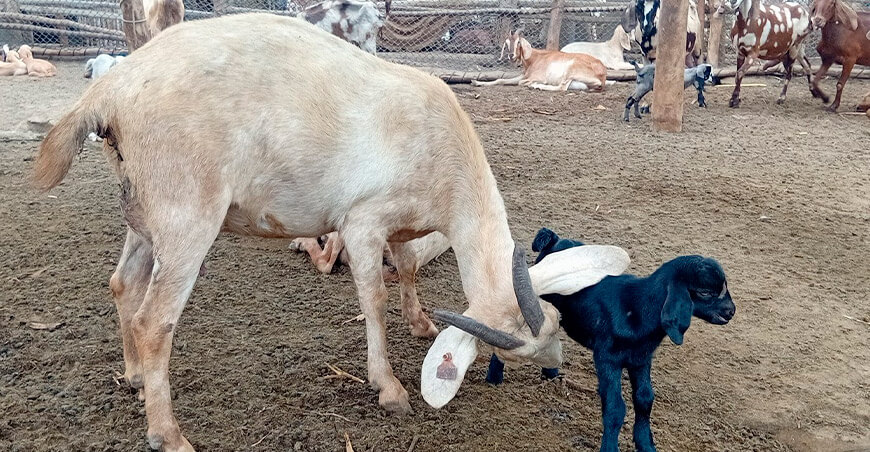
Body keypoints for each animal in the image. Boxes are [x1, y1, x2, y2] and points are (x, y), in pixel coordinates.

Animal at [33, 14, 567, 450]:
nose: (555, 370)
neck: (443, 151)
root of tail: (110, 91)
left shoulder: (402, 224)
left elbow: (410, 266)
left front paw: (420, 323)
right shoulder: (363, 221)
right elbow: (373, 299)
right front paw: (389, 388)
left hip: (141, 208)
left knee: (123, 283)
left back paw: (135, 378)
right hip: (185, 210)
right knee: (154, 321)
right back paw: (168, 434)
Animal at [472, 29, 610, 92]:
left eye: (518, 42)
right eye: (506, 43)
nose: (511, 55)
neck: (534, 58)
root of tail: (602, 74)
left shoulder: (535, 77)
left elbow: (520, 83)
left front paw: (534, 84)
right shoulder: (524, 76)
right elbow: (500, 80)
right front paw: (476, 82)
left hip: (572, 69)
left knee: (561, 87)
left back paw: (537, 86)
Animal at [490, 229, 735, 452]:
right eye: (704, 292)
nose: (731, 311)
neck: (636, 308)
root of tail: (554, 240)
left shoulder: (641, 359)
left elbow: (645, 399)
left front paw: (646, 445)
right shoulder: (607, 358)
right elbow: (615, 407)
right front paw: (610, 447)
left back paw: (550, 373)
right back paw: (494, 378)